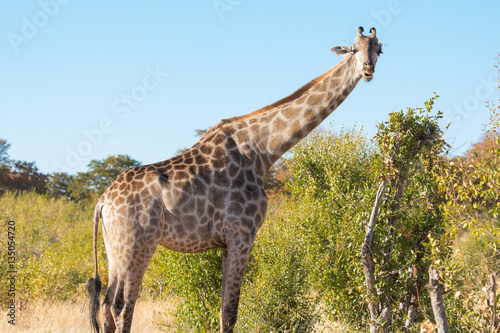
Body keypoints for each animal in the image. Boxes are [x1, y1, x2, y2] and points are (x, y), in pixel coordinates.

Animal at [86, 26, 382, 332]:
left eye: (379, 49)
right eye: (354, 50)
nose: (368, 69)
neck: (264, 151)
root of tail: (102, 202)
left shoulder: (226, 242)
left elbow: (222, 311)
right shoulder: (242, 233)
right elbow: (230, 313)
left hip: (114, 248)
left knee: (107, 306)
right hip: (138, 244)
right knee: (122, 307)